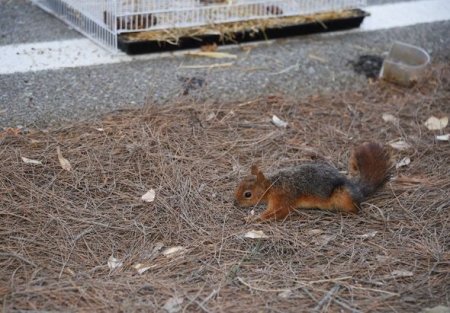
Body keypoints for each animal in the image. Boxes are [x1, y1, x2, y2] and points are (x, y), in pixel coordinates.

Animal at [234, 143, 392, 221]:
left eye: (247, 194)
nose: (235, 203)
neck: (273, 185)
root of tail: (357, 189)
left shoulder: (283, 199)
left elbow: (278, 213)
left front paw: (255, 218)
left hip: (343, 195)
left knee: (356, 208)